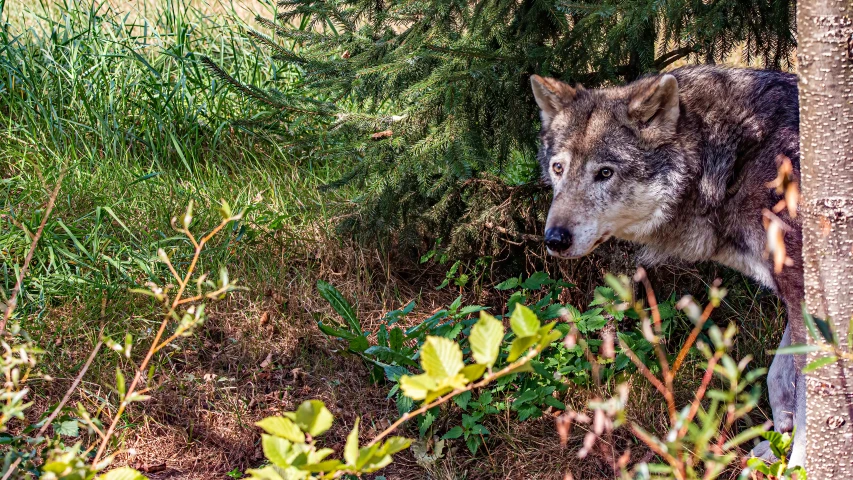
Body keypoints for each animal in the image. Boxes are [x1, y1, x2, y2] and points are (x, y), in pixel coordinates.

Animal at [532, 65, 804, 464]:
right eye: (558, 169)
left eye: (605, 173)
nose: (554, 239)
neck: (735, 163)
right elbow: (781, 373)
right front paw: (777, 441)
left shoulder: (803, 288)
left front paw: (801, 462)